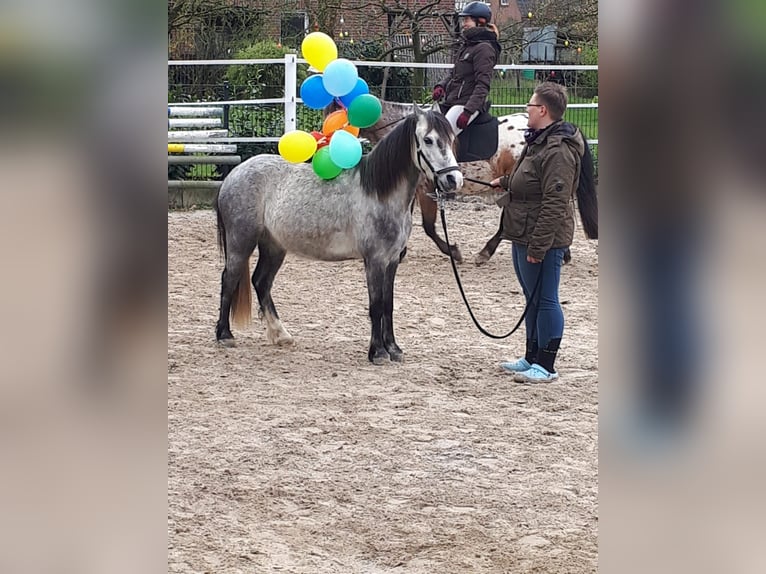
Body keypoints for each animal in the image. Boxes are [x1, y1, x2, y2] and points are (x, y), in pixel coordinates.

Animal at [214, 107, 462, 364]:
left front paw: (394, 348)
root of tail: (234, 174)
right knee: (229, 279)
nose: (453, 180)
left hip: (274, 246)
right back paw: (224, 335)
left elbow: (388, 305)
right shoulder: (374, 260)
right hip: (241, 242)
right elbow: (376, 305)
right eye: (428, 140)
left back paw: (280, 334)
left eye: (452, 139)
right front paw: (378, 352)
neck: (380, 193)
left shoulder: (392, 261)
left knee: (261, 282)